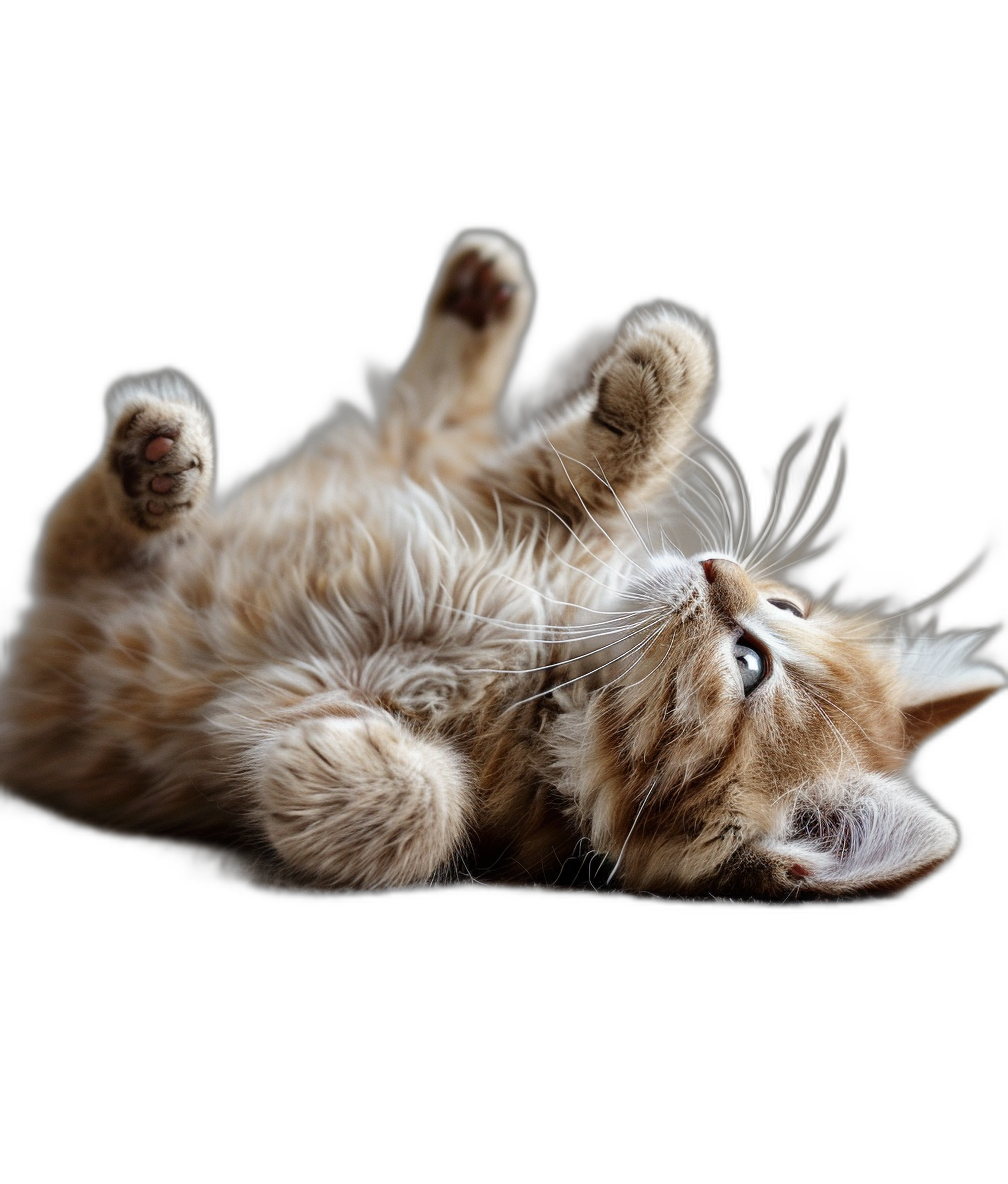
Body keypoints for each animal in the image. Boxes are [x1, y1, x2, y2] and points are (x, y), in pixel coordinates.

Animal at [0, 226, 999, 899]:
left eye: (751, 663)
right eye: (788, 610)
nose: (722, 573)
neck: (545, 654)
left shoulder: (491, 818)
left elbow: (420, 814)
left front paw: (327, 772)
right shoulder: (500, 501)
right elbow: (591, 459)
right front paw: (662, 362)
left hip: (68, 629)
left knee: (77, 542)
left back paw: (157, 471)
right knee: (426, 421)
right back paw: (476, 298)